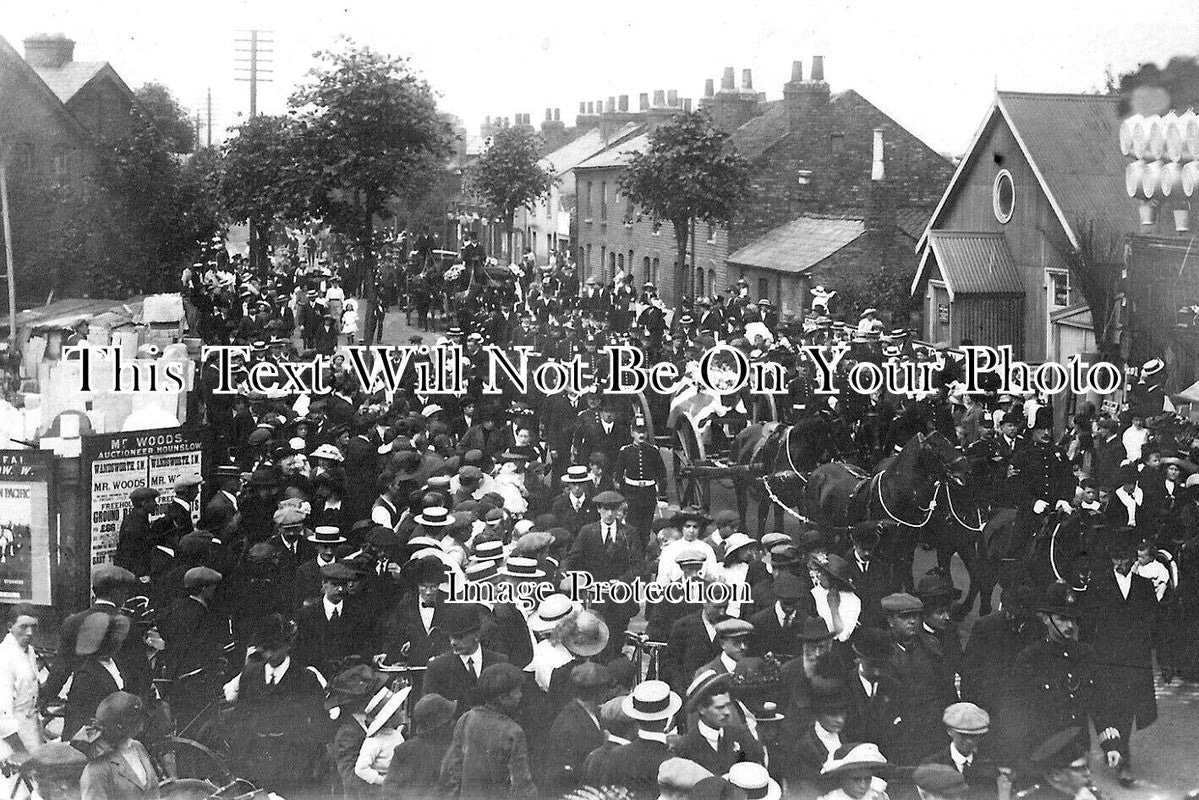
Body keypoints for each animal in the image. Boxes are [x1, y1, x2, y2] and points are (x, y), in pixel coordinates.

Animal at [800, 431, 968, 594]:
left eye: (949, 442)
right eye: (935, 449)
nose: (966, 469)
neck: (895, 496)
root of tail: (816, 473)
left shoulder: (907, 549)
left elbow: (904, 578)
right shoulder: (884, 552)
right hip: (820, 527)